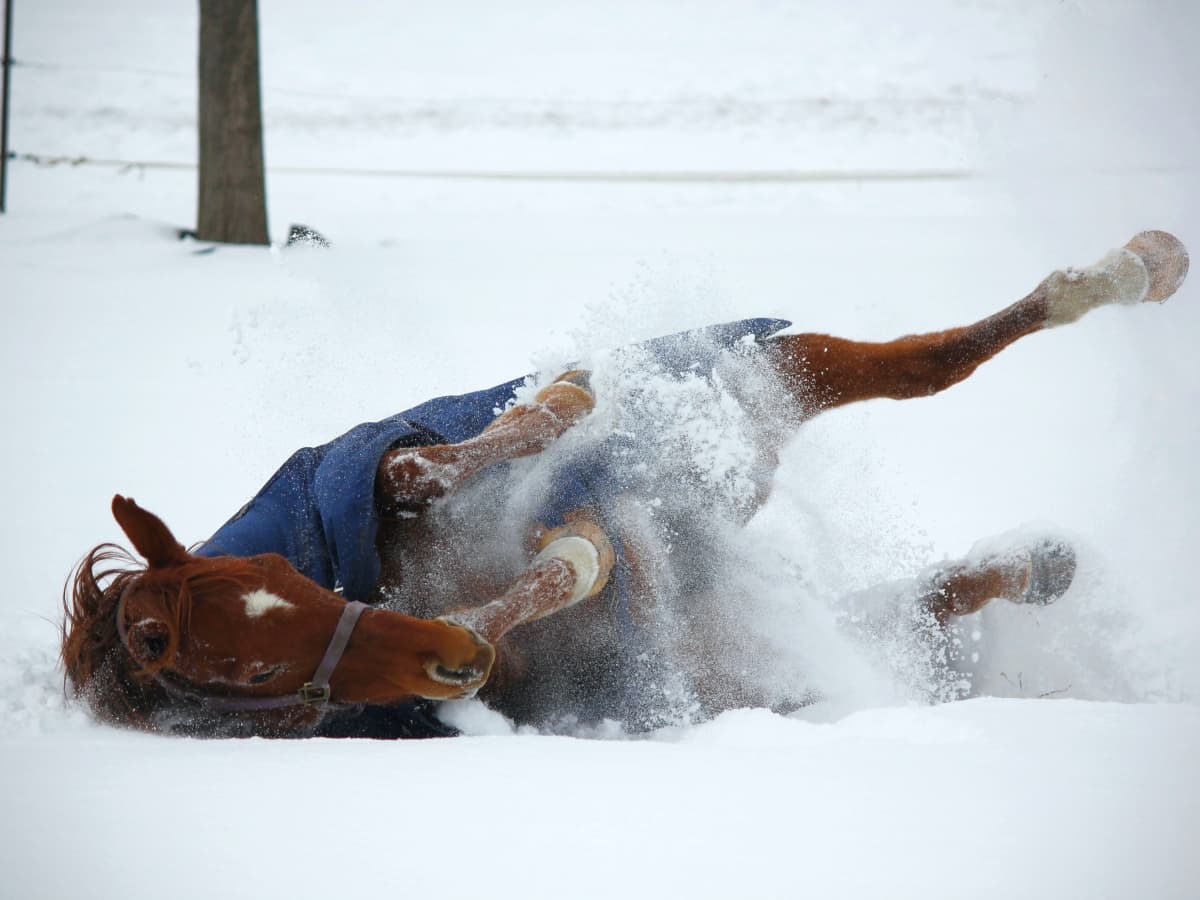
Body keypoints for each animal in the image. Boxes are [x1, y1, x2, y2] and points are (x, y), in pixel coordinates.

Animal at [61, 230, 1189, 738]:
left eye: (287, 582)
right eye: (250, 672)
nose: (444, 660)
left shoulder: (380, 476)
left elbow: (438, 460)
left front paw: (562, 402)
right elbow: (568, 563)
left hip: (767, 373)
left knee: (935, 360)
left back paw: (1138, 269)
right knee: (909, 573)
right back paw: (1038, 562)